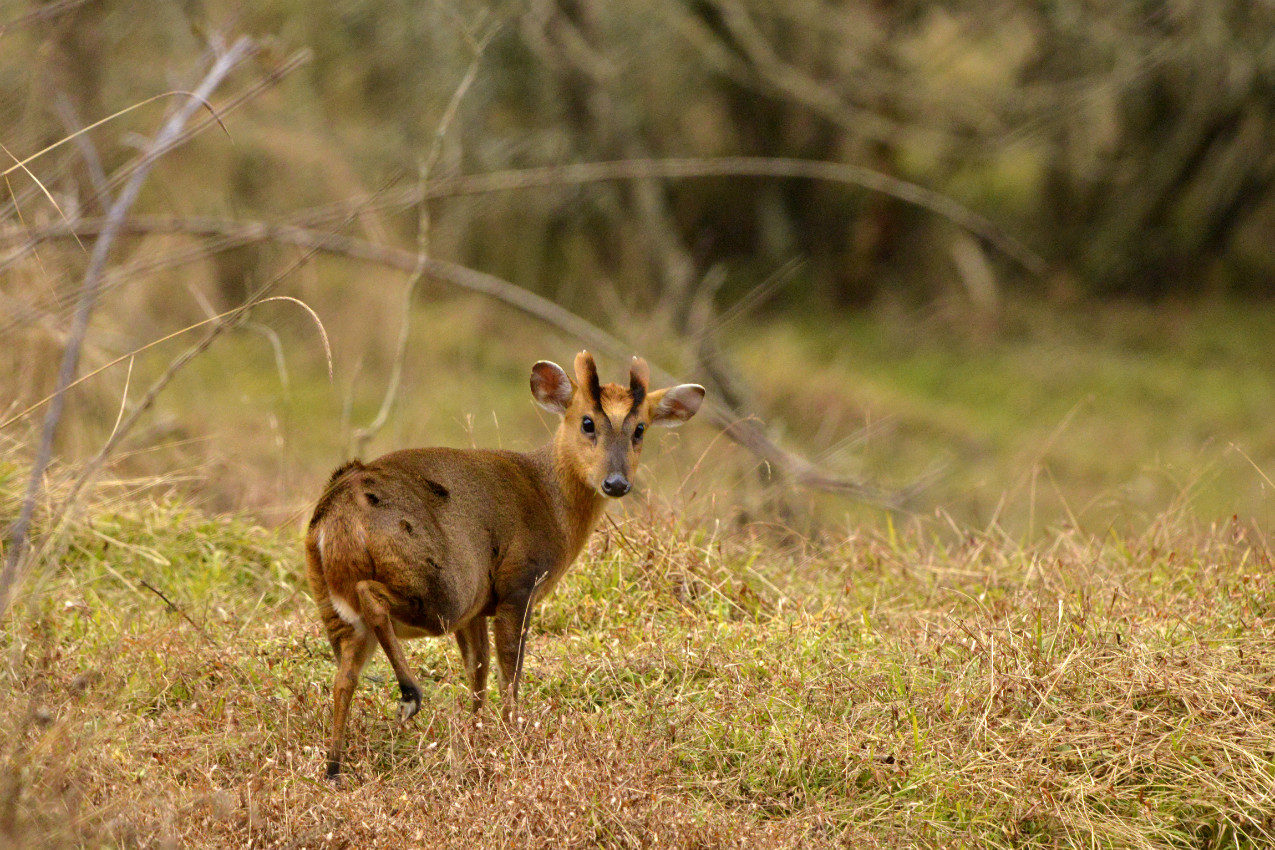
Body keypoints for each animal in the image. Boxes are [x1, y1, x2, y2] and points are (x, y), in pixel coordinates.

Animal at [306, 351, 708, 779]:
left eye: (640, 429)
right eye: (587, 422)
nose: (616, 483)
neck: (551, 500)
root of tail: (337, 514)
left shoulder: (479, 608)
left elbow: (478, 670)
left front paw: (476, 732)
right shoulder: (519, 583)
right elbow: (509, 670)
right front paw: (512, 733)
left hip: (337, 607)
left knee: (343, 677)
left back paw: (334, 767)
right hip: (440, 586)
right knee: (373, 599)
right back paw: (409, 696)